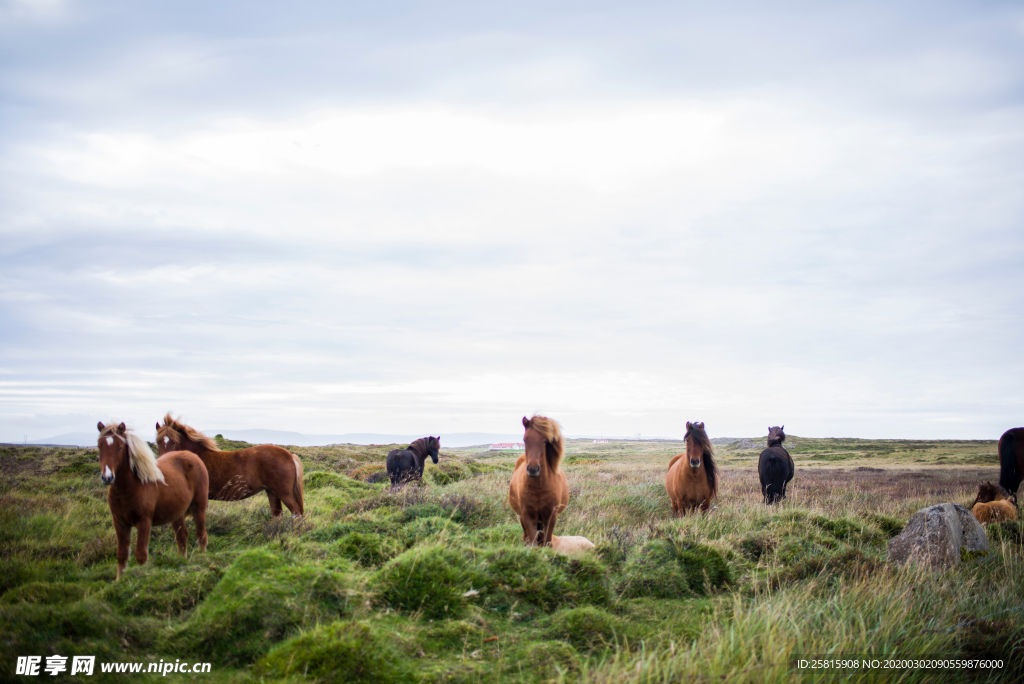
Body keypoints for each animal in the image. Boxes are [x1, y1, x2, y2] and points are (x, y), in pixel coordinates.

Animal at [97, 421, 207, 577]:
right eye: (99, 446)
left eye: (120, 447)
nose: (107, 477)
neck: (128, 489)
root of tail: (193, 456)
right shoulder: (120, 523)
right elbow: (122, 554)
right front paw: (120, 580)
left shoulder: (144, 522)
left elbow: (141, 554)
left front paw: (141, 576)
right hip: (177, 514)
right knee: (182, 537)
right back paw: (181, 561)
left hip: (199, 508)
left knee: (201, 534)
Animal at [151, 411, 303, 518]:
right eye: (158, 441)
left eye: (174, 442)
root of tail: (290, 456)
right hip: (272, 492)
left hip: (284, 493)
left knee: (297, 513)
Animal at [509, 413, 573, 548]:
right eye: (525, 440)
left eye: (544, 441)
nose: (533, 469)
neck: (539, 488)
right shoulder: (527, 516)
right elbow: (532, 543)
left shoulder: (551, 517)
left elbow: (547, 542)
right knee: (526, 537)